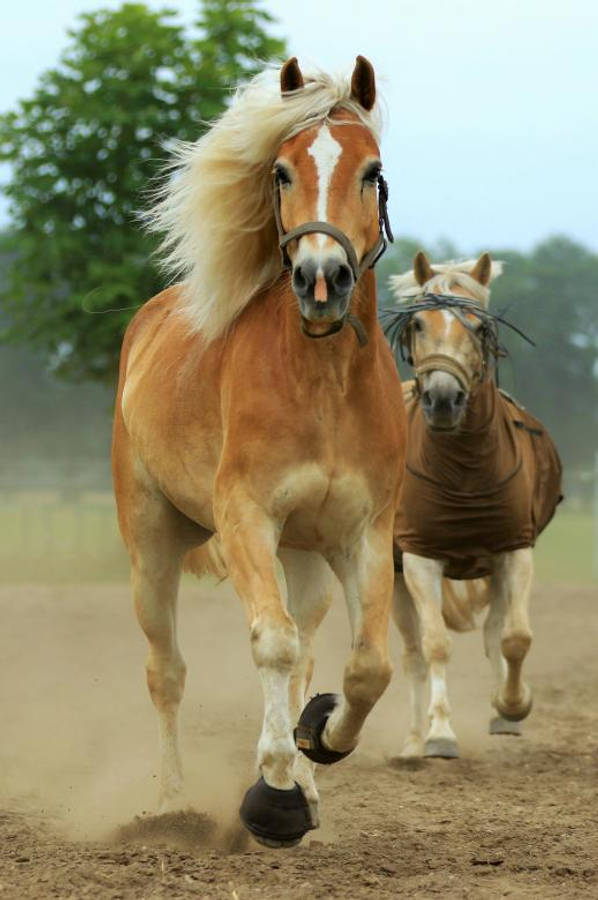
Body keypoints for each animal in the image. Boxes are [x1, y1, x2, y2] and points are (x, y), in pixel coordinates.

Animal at [111, 56, 406, 847]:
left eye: (372, 171)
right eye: (281, 170)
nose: (321, 279)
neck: (323, 383)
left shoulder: (364, 534)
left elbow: (366, 667)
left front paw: (315, 742)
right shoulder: (245, 518)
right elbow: (269, 643)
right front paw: (271, 797)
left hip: (304, 560)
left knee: (306, 648)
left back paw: (306, 777)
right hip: (152, 548)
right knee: (165, 671)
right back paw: (172, 800)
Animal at [381, 251, 562, 759]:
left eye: (479, 328)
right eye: (417, 324)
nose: (443, 398)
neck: (464, 471)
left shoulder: (512, 551)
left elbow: (514, 638)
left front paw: (512, 705)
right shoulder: (420, 558)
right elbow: (435, 646)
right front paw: (439, 734)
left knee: (493, 633)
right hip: (396, 578)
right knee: (414, 654)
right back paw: (412, 742)